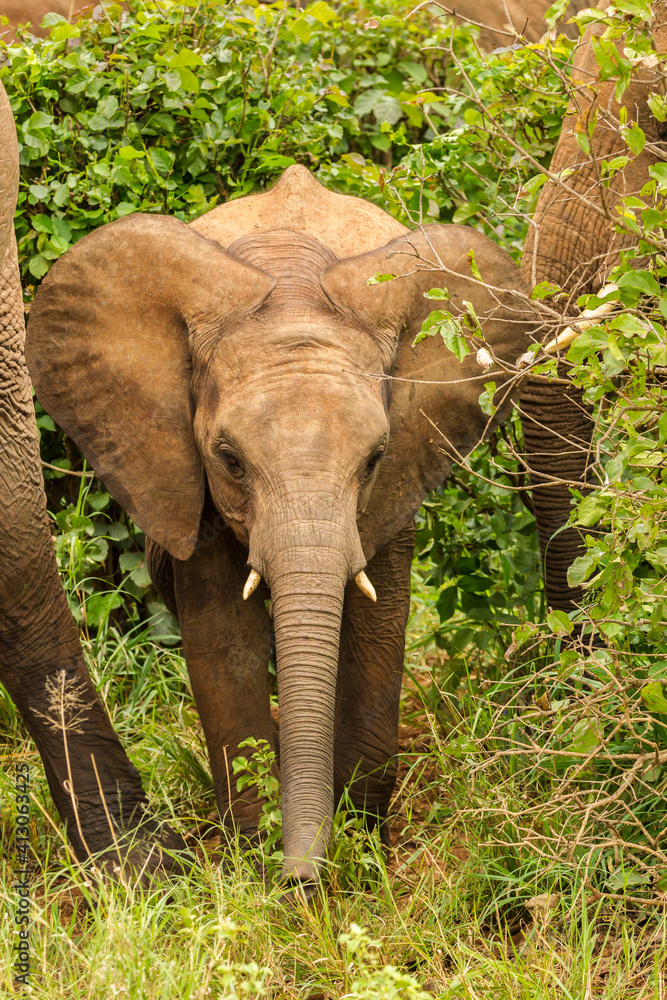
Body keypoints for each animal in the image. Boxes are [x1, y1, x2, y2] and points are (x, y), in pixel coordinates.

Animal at [26, 163, 548, 890]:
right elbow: (223, 642)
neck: (293, 278)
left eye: (375, 458)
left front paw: (358, 852)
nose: (301, 878)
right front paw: (258, 862)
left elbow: (377, 627)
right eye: (229, 460)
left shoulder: (394, 485)